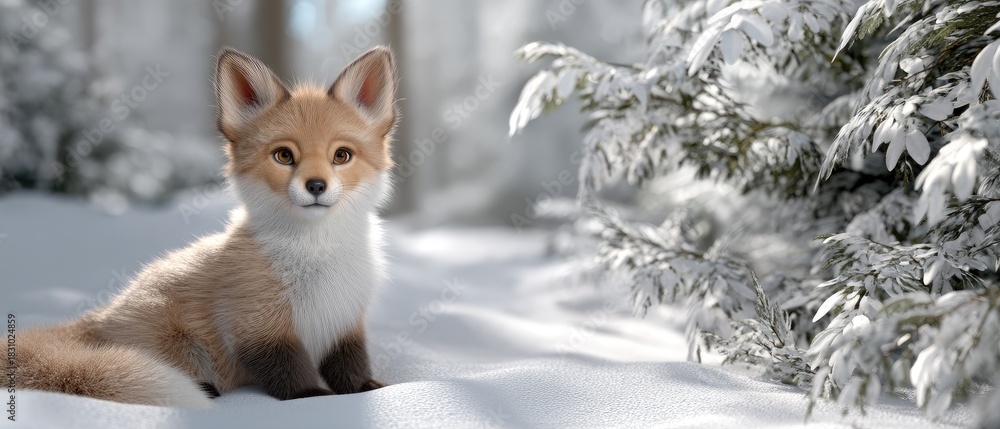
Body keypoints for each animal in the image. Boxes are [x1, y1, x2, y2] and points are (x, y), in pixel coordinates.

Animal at [10, 46, 399, 407]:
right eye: (284, 156)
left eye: (341, 156)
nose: (316, 186)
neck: (318, 257)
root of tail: (98, 316)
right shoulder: (256, 326)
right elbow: (289, 372)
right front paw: (312, 399)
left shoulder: (344, 321)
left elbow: (351, 368)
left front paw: (373, 391)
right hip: (182, 347)